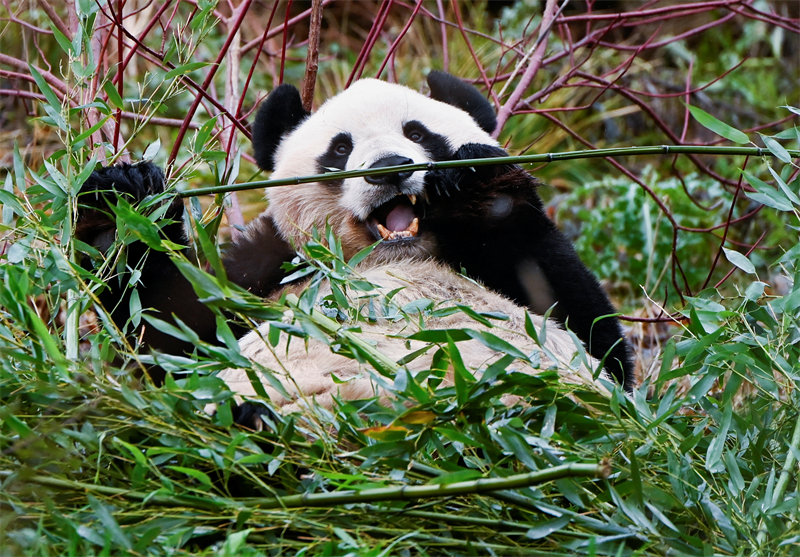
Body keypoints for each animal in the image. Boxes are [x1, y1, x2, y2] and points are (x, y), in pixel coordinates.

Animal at [78, 71, 636, 424]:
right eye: (341, 148)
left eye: (418, 133)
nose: (387, 167)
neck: (396, 255)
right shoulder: (269, 272)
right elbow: (165, 330)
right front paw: (120, 205)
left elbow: (596, 339)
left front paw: (478, 185)